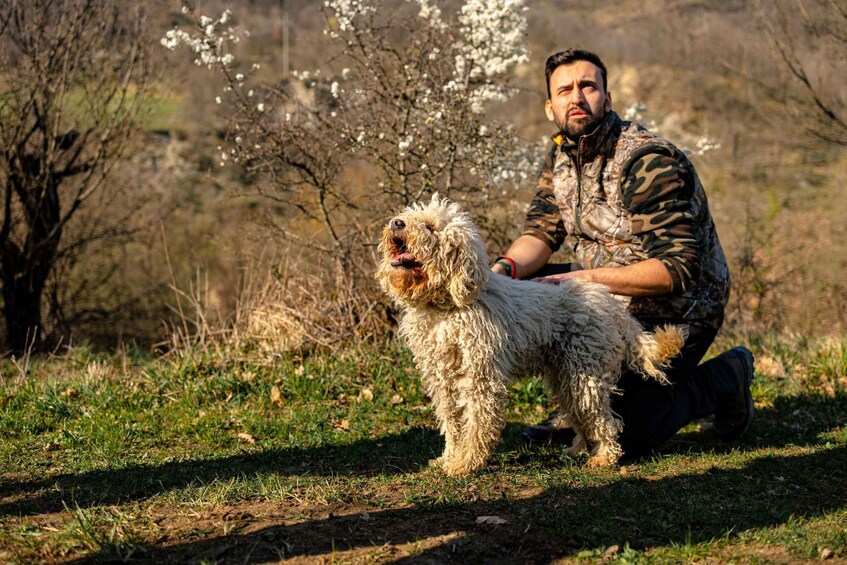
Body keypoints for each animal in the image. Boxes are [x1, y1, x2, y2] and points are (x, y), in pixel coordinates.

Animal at [378, 196, 684, 474]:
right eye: (408, 216)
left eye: (430, 227)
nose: (397, 223)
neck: (447, 306)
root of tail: (611, 306)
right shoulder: (443, 379)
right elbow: (452, 422)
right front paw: (449, 457)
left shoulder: (480, 376)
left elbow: (477, 422)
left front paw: (467, 463)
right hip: (565, 376)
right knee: (581, 416)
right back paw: (579, 449)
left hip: (585, 375)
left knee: (604, 420)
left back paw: (604, 457)